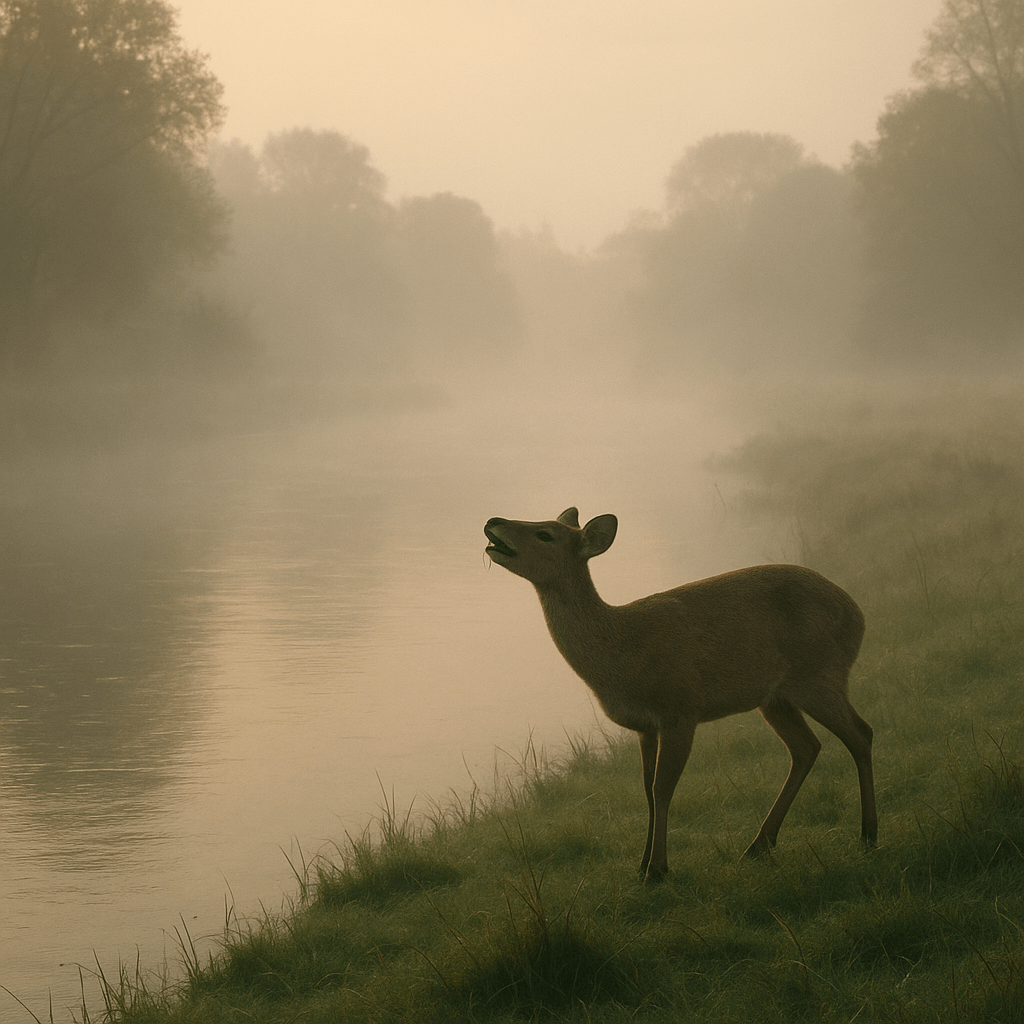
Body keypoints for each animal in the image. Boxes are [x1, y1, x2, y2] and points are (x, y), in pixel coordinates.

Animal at [483, 507, 876, 882]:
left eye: (545, 534)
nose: (493, 521)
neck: (620, 654)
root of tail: (857, 612)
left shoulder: (680, 709)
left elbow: (663, 788)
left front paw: (657, 870)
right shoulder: (644, 726)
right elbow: (646, 790)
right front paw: (642, 865)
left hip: (819, 674)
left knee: (861, 733)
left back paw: (868, 835)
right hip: (775, 697)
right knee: (806, 747)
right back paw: (759, 845)